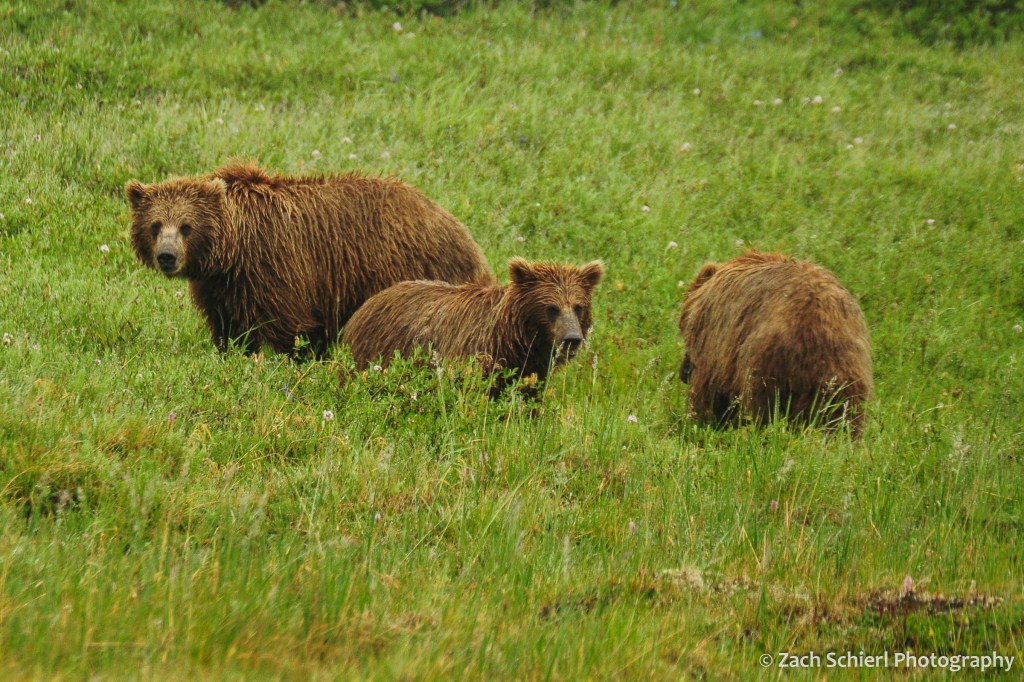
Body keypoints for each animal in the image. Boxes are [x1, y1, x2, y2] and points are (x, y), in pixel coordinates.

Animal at [126, 162, 494, 357]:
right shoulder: (220, 287)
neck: (231, 252)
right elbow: (228, 328)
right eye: (155, 224)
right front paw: (231, 352)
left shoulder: (275, 268)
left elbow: (287, 329)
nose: (167, 256)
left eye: (186, 226)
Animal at [678, 251, 873, 435]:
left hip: (767, 363)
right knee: (843, 416)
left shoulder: (714, 335)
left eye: (684, 331)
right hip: (847, 371)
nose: (683, 373)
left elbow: (707, 390)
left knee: (761, 408)